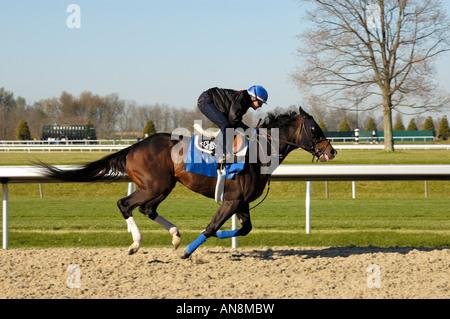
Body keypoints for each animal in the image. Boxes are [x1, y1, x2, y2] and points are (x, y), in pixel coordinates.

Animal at [37, 107, 334, 260]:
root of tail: (133, 147)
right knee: (125, 204)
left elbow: (244, 229)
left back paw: (176, 236)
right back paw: (137, 243)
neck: (259, 152)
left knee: (147, 209)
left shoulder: (241, 201)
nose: (331, 151)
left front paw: (217, 240)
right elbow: (212, 227)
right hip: (153, 186)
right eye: (314, 129)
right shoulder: (232, 200)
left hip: (164, 186)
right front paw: (191, 250)